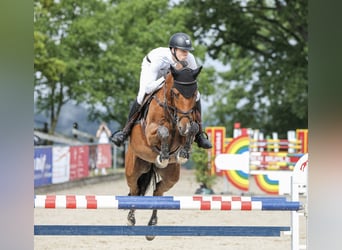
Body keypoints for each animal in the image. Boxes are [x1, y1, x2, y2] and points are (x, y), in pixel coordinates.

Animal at [124, 64, 202, 240]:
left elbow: (193, 128)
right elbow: (163, 131)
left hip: (171, 176)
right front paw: (164, 155)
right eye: (176, 93)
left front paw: (183, 152)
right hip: (133, 169)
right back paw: (130, 220)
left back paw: (152, 227)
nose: (183, 126)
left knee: (157, 191)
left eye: (194, 94)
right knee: (135, 189)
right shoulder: (151, 132)